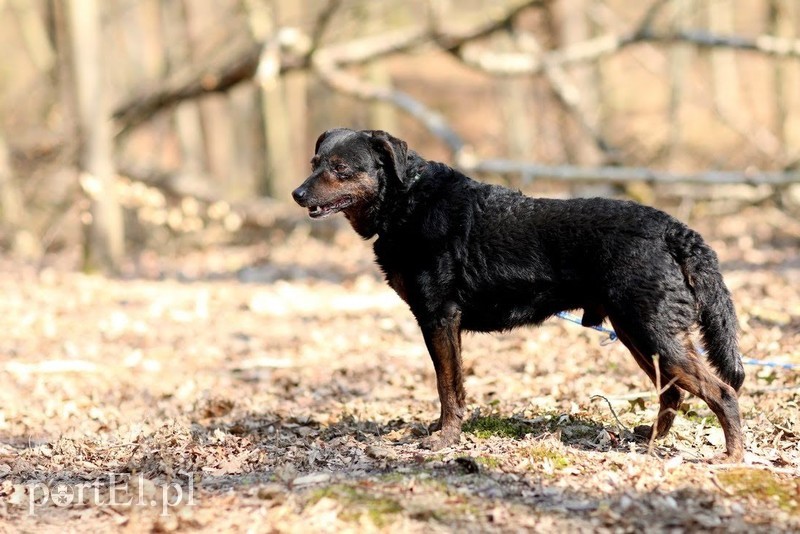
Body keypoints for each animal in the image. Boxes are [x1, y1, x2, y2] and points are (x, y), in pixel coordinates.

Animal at [292, 129, 744, 460]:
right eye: (314, 164)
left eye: (341, 168)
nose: (298, 194)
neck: (406, 201)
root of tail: (674, 230)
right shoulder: (445, 324)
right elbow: (453, 386)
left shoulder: (439, 317)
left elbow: (447, 387)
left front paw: (444, 440)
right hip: (639, 335)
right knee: (673, 393)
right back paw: (650, 440)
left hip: (653, 333)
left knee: (722, 392)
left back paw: (732, 458)